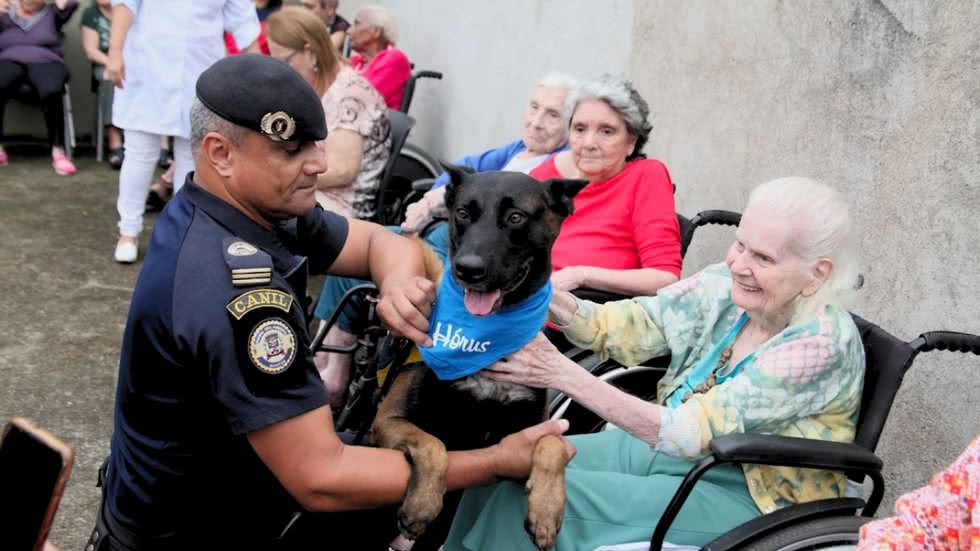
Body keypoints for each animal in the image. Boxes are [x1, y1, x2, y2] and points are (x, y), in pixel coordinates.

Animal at [372, 166, 584, 548]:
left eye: (516, 217)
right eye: (462, 213)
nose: (467, 269)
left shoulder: (523, 437)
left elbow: (552, 444)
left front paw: (547, 509)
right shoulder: (388, 422)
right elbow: (434, 443)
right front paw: (422, 505)